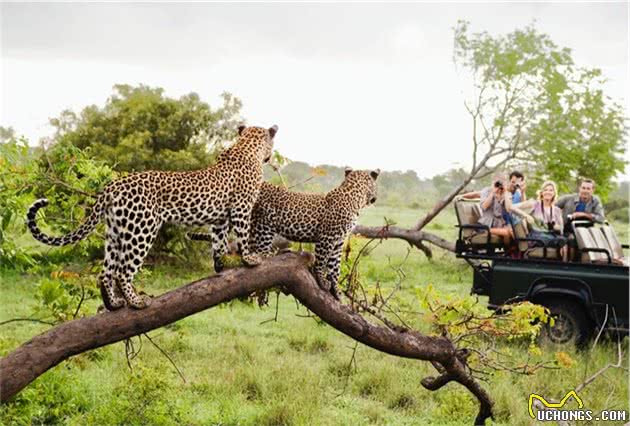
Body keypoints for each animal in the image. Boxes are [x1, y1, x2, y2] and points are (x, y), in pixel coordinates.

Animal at [27, 125, 278, 312]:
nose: (270, 157)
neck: (246, 146)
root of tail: (112, 186)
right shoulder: (242, 207)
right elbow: (242, 235)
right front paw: (250, 259)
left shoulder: (219, 218)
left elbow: (219, 242)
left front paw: (220, 265)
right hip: (142, 229)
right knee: (122, 271)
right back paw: (137, 302)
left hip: (116, 232)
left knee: (106, 272)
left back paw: (114, 303)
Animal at [190, 167, 380, 300]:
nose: (375, 199)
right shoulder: (327, 237)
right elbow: (322, 261)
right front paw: (322, 280)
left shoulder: (339, 241)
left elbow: (335, 267)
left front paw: (337, 291)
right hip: (263, 224)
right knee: (259, 252)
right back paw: (276, 253)